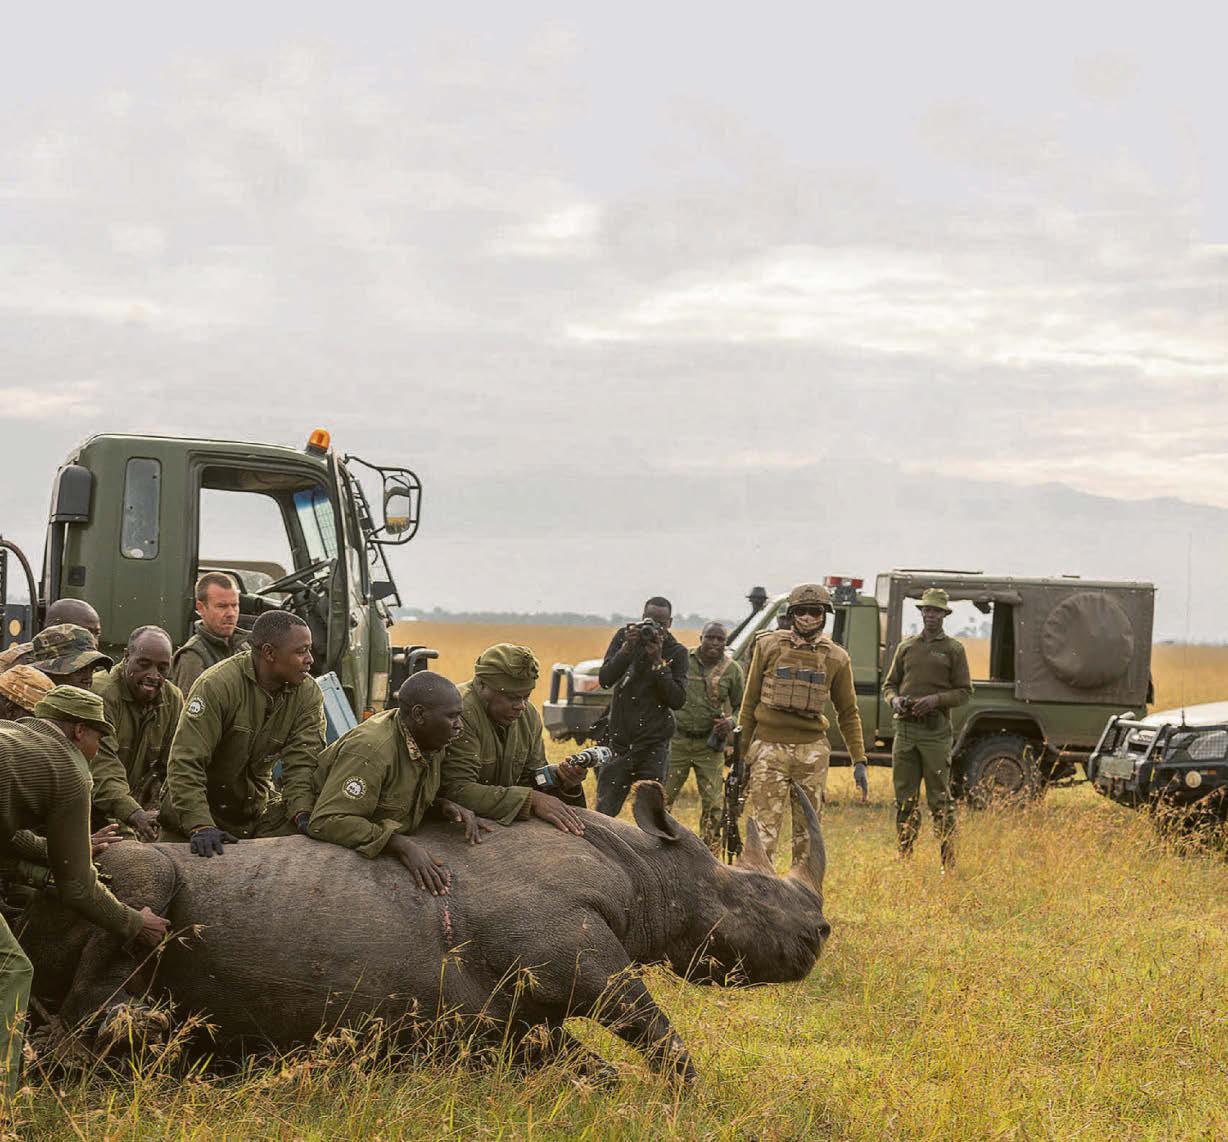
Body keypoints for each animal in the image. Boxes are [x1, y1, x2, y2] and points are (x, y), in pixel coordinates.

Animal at [21, 782, 829, 1081]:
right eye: (750, 891)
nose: (821, 934)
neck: (645, 874)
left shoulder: (511, 1019)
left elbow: (583, 1062)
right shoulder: (574, 952)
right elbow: (655, 1030)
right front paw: (690, 1100)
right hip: (106, 878)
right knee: (134, 893)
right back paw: (137, 1037)